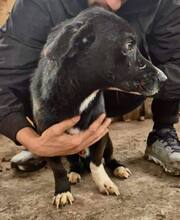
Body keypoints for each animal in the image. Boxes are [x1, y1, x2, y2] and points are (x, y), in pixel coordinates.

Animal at [30, 7, 166, 208]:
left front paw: (104, 183)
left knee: (108, 158)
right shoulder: (47, 141)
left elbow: (96, 162)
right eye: (129, 45)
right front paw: (62, 191)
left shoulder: (100, 132)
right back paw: (74, 172)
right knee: (75, 164)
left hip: (109, 141)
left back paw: (118, 168)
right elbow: (58, 170)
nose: (164, 78)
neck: (80, 96)